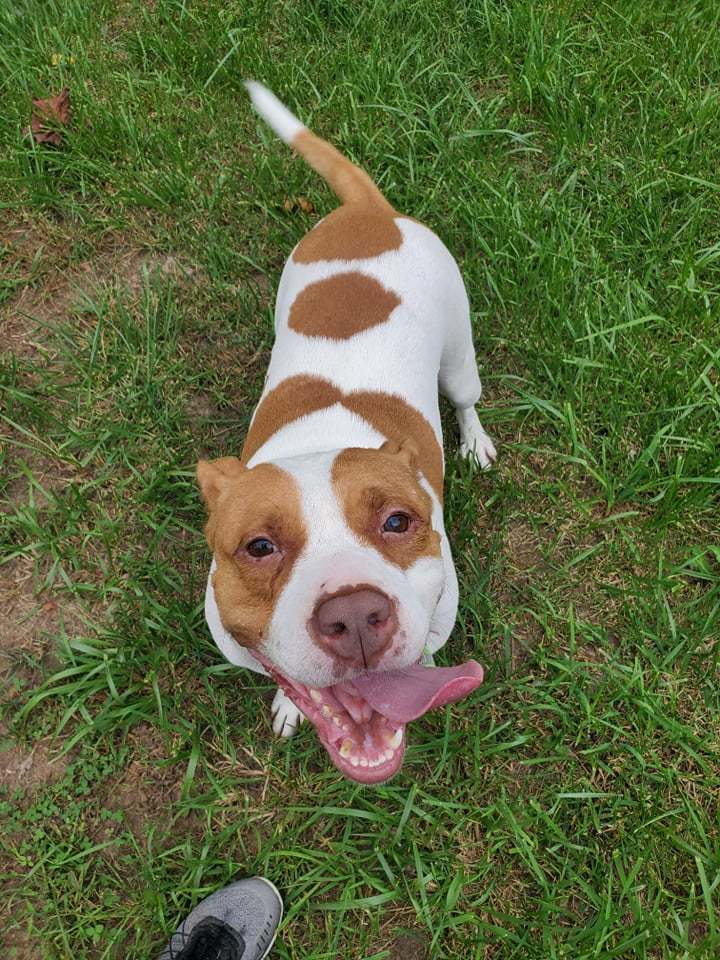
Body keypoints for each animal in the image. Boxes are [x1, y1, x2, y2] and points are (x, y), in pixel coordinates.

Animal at [197, 82, 496, 784]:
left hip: (459, 354)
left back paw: (473, 442)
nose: (355, 616)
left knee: (466, 397)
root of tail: (369, 211)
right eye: (258, 546)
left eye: (398, 522)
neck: (318, 438)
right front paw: (290, 703)